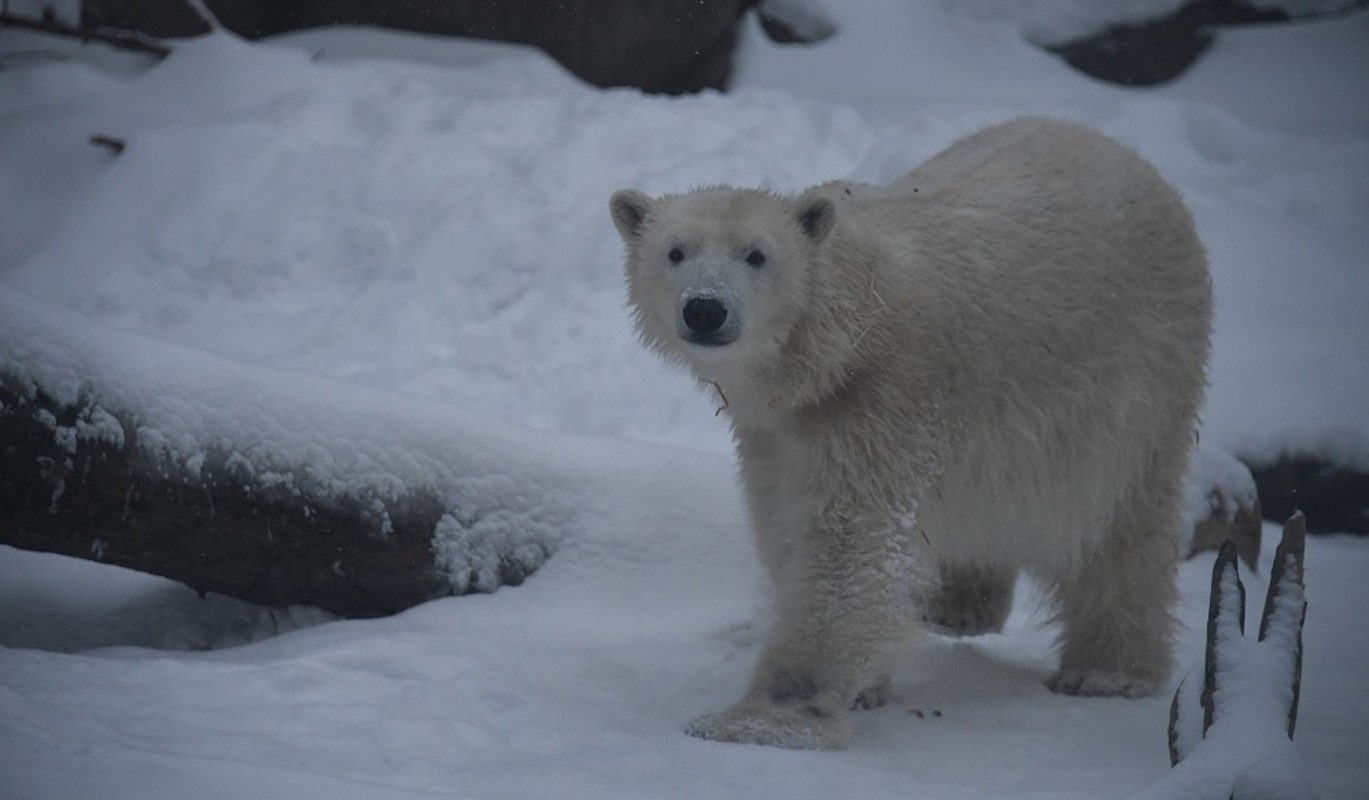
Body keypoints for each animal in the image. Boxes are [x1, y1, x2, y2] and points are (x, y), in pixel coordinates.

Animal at [610, 114, 1210, 750]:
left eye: (756, 255)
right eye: (675, 251)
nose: (705, 309)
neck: (842, 336)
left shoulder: (883, 401)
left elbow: (849, 547)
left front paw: (761, 719)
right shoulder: (779, 431)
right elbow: (787, 527)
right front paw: (865, 687)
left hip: (1140, 382)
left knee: (1124, 528)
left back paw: (1107, 673)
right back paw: (961, 604)